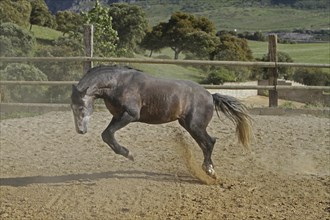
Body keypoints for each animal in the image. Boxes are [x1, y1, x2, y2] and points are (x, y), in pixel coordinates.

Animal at [71, 65, 251, 179]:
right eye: (72, 107)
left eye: (80, 107)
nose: (80, 130)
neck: (117, 83)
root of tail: (210, 96)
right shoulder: (118, 116)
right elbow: (106, 135)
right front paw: (127, 153)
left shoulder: (130, 114)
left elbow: (108, 134)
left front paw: (129, 154)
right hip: (189, 126)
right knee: (205, 144)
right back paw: (208, 170)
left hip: (195, 126)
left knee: (209, 142)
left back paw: (209, 170)